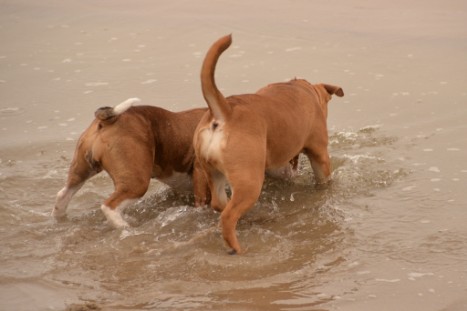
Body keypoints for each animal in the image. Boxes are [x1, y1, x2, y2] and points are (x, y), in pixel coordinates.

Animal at [53, 98, 210, 228]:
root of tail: (108, 120)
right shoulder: (201, 173)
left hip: (82, 170)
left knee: (63, 195)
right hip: (137, 182)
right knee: (109, 207)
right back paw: (126, 228)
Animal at [193, 34, 344, 254]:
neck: (302, 87)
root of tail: (225, 112)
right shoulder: (319, 153)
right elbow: (324, 178)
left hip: (212, 172)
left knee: (219, 204)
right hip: (249, 181)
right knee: (228, 217)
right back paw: (237, 248)